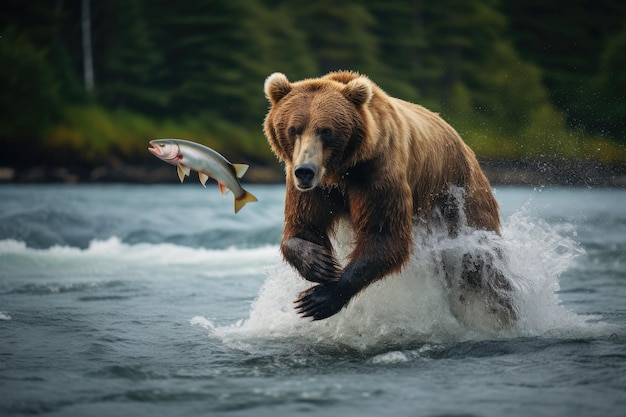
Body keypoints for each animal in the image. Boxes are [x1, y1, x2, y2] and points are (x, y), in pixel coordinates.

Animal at [262, 71, 508, 320]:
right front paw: (320, 263)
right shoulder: (316, 188)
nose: (305, 170)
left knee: (481, 264)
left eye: (326, 130)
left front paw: (319, 299)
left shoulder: (377, 173)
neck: (342, 170)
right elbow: (303, 225)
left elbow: (384, 235)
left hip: (459, 196)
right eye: (294, 129)